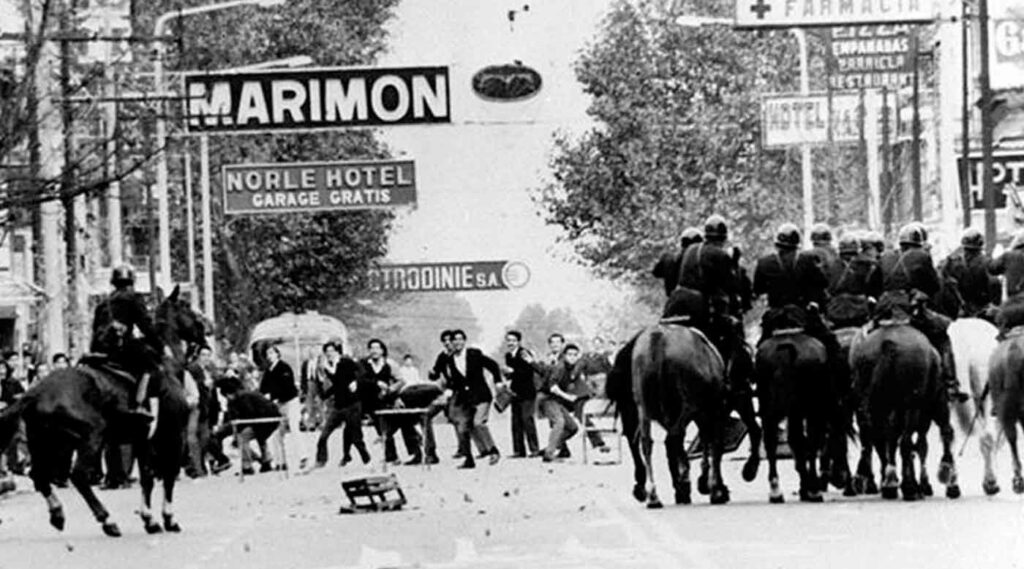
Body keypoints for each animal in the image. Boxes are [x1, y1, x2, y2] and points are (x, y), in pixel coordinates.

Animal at [0, 286, 205, 536]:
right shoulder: (172, 436)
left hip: (47, 442)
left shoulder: (142, 440)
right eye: (185, 305)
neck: (167, 365)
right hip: (90, 436)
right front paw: (168, 518)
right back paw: (107, 520)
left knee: (39, 476)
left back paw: (58, 514)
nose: (205, 328)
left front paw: (149, 519)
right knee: (77, 475)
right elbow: (168, 474)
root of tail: (36, 392)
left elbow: (147, 477)